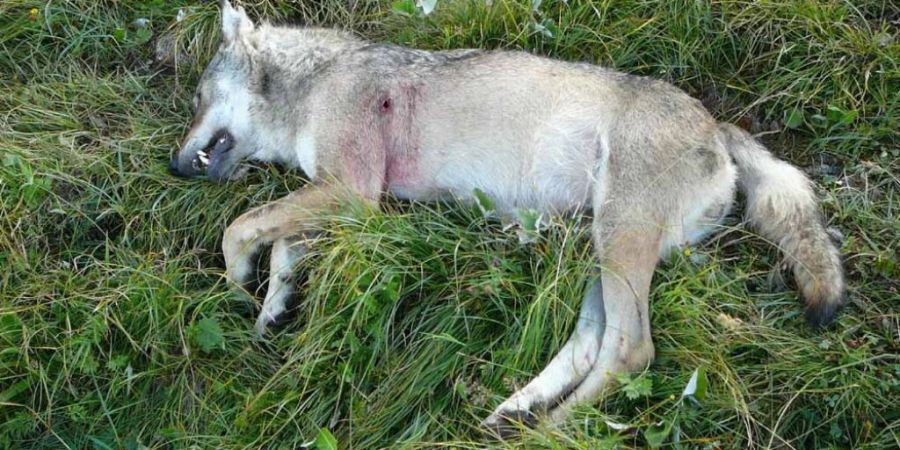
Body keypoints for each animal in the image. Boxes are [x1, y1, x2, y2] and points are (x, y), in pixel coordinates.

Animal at [167, 0, 844, 436]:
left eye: (197, 101)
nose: (174, 167)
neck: (314, 82)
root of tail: (720, 129)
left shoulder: (353, 192)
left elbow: (241, 227)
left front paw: (236, 284)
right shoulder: (339, 198)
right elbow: (283, 243)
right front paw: (273, 305)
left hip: (617, 243)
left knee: (633, 351)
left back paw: (553, 428)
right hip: (597, 248)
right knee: (594, 343)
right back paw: (515, 411)